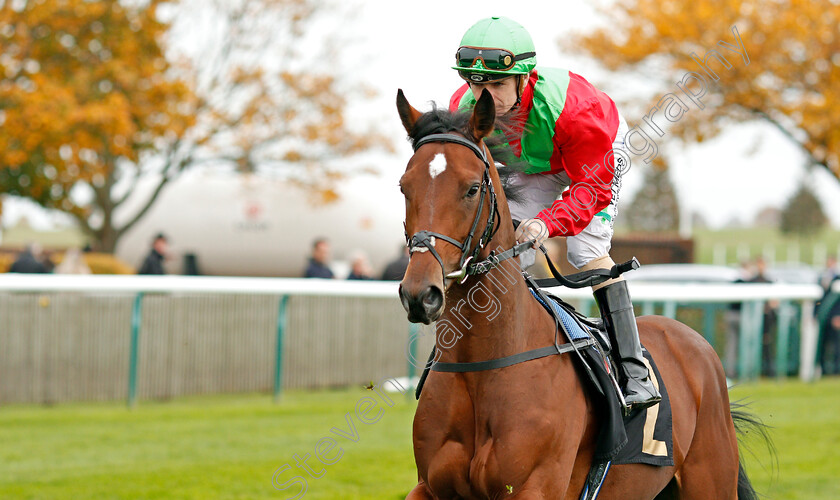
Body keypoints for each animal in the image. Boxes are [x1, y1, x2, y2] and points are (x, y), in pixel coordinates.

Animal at [398, 91, 764, 500]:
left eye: (471, 188)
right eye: (404, 187)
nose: (420, 293)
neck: (481, 365)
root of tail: (692, 340)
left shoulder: (534, 487)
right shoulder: (429, 487)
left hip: (711, 479)